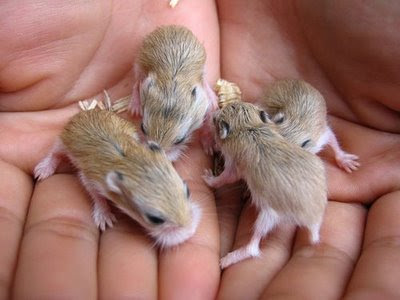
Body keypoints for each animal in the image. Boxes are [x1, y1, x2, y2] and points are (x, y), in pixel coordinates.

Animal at [34, 109, 202, 247]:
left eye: (188, 191)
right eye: (154, 219)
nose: (190, 232)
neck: (129, 162)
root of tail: (84, 113)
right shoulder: (90, 179)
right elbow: (97, 196)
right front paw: (105, 220)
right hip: (62, 142)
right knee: (55, 153)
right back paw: (42, 171)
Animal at [129, 25, 217, 161]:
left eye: (180, 140)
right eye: (142, 128)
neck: (172, 92)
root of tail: (174, 27)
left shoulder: (202, 106)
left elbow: (207, 121)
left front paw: (209, 148)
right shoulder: (146, 84)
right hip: (139, 64)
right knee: (137, 82)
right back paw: (135, 108)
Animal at [205, 102, 326, 268]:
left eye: (215, 120)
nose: (213, 113)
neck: (248, 126)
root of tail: (314, 218)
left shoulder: (232, 165)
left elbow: (223, 179)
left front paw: (206, 176)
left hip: (268, 216)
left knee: (253, 248)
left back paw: (226, 260)